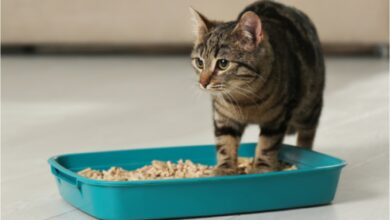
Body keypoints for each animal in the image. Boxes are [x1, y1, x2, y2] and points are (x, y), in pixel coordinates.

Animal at [190, 0, 324, 175]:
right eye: (199, 62)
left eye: (223, 63)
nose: (203, 83)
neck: (245, 99)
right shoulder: (223, 116)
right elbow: (225, 143)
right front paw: (225, 168)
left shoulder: (277, 118)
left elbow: (267, 144)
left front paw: (262, 167)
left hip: (308, 105)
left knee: (308, 132)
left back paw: (305, 149)